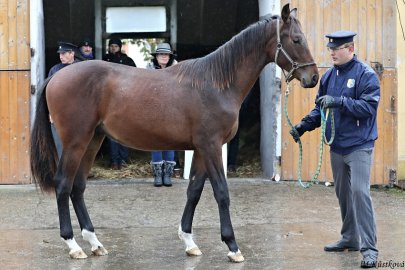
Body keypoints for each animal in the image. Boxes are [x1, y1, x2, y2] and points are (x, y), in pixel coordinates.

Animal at [29, 3, 318, 262]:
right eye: (296, 39)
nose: (313, 78)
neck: (215, 83)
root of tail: (57, 76)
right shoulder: (211, 147)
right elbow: (221, 193)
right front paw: (232, 246)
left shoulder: (201, 149)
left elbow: (194, 191)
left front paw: (189, 242)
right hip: (75, 142)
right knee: (63, 184)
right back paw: (73, 245)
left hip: (92, 140)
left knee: (77, 187)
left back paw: (95, 243)